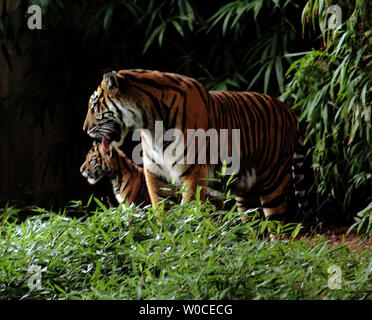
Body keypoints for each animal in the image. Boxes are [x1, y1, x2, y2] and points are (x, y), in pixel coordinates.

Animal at [83, 69, 308, 220]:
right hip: (245, 192)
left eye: (94, 106)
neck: (150, 126)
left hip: (273, 181)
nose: (85, 129)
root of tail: (291, 112)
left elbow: (189, 213)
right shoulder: (155, 175)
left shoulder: (192, 174)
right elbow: (162, 213)